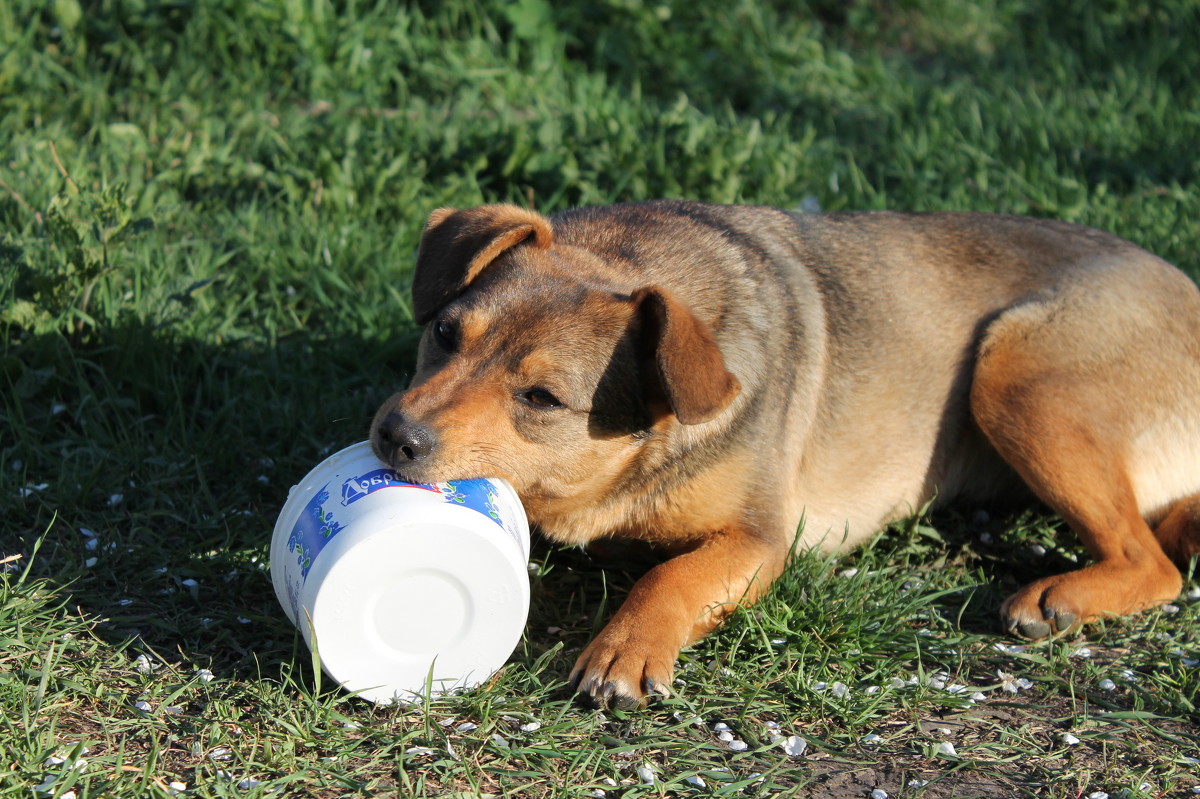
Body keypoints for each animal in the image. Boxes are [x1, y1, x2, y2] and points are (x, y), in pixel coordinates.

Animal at [369, 200, 1200, 710]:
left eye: (541, 397)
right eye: (445, 333)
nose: (394, 435)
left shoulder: (764, 537)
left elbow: (673, 574)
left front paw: (626, 648)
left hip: (1017, 373)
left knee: (1154, 561)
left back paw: (1060, 598)